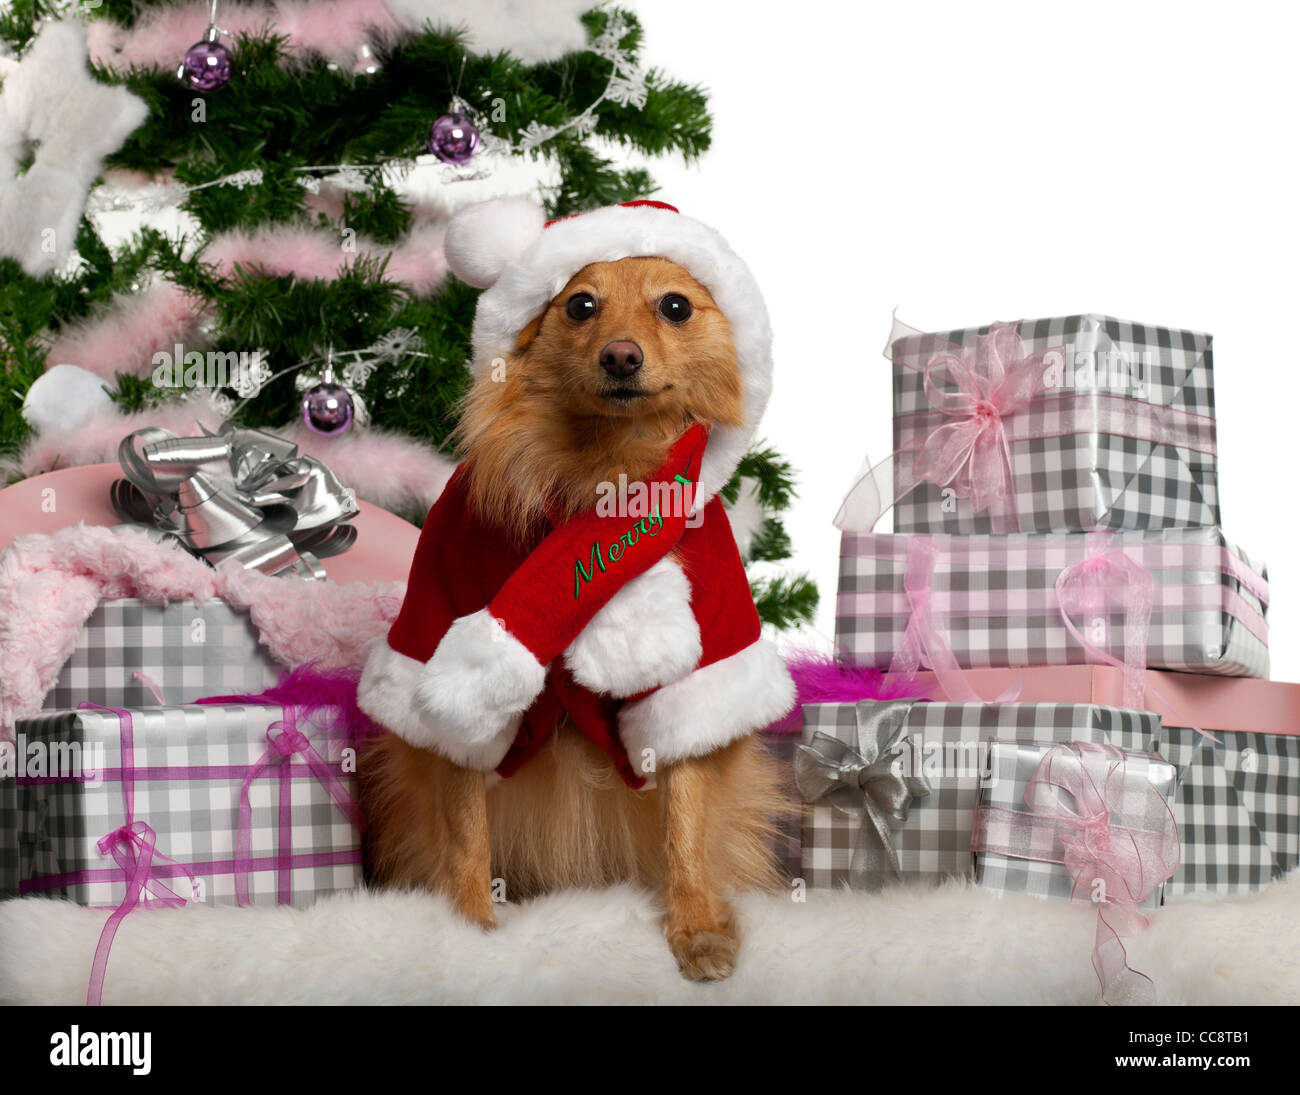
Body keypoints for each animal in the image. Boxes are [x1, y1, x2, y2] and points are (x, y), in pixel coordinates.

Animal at [361, 198, 795, 983]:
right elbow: (464, 831)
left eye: (676, 306)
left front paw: (695, 927)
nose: (621, 355)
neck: (599, 473)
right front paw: (469, 930)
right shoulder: (437, 633)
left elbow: (686, 822)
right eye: (580, 305)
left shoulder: (703, 660)